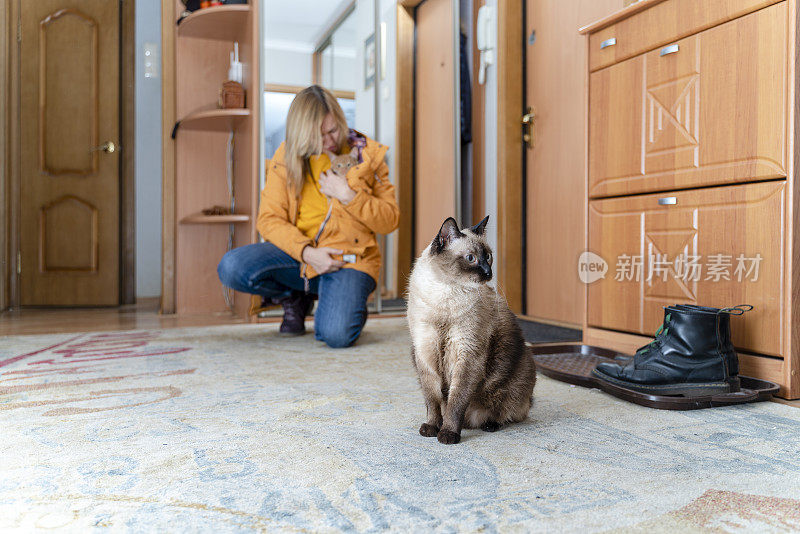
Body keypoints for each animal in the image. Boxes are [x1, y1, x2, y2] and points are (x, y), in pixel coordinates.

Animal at [406, 216, 536, 446]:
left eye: (489, 257)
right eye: (471, 258)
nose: (488, 273)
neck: (445, 291)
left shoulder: (467, 352)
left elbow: (456, 401)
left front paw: (448, 434)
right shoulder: (424, 351)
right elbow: (432, 399)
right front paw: (431, 428)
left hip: (516, 380)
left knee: (506, 413)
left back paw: (489, 425)